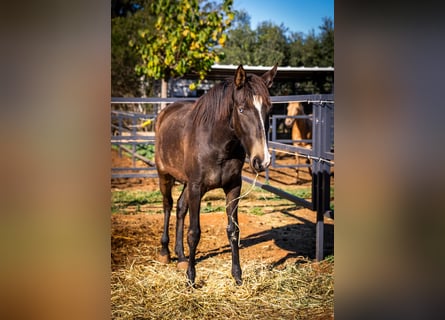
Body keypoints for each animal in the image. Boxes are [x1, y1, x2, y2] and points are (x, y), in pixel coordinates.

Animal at [154, 64, 276, 284]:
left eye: (268, 109)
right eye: (241, 109)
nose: (262, 160)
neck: (217, 145)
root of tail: (165, 112)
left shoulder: (233, 187)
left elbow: (233, 230)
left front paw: (237, 276)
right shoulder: (196, 187)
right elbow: (194, 232)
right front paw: (191, 278)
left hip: (186, 183)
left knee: (180, 208)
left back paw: (181, 257)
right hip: (164, 176)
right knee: (167, 206)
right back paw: (165, 253)